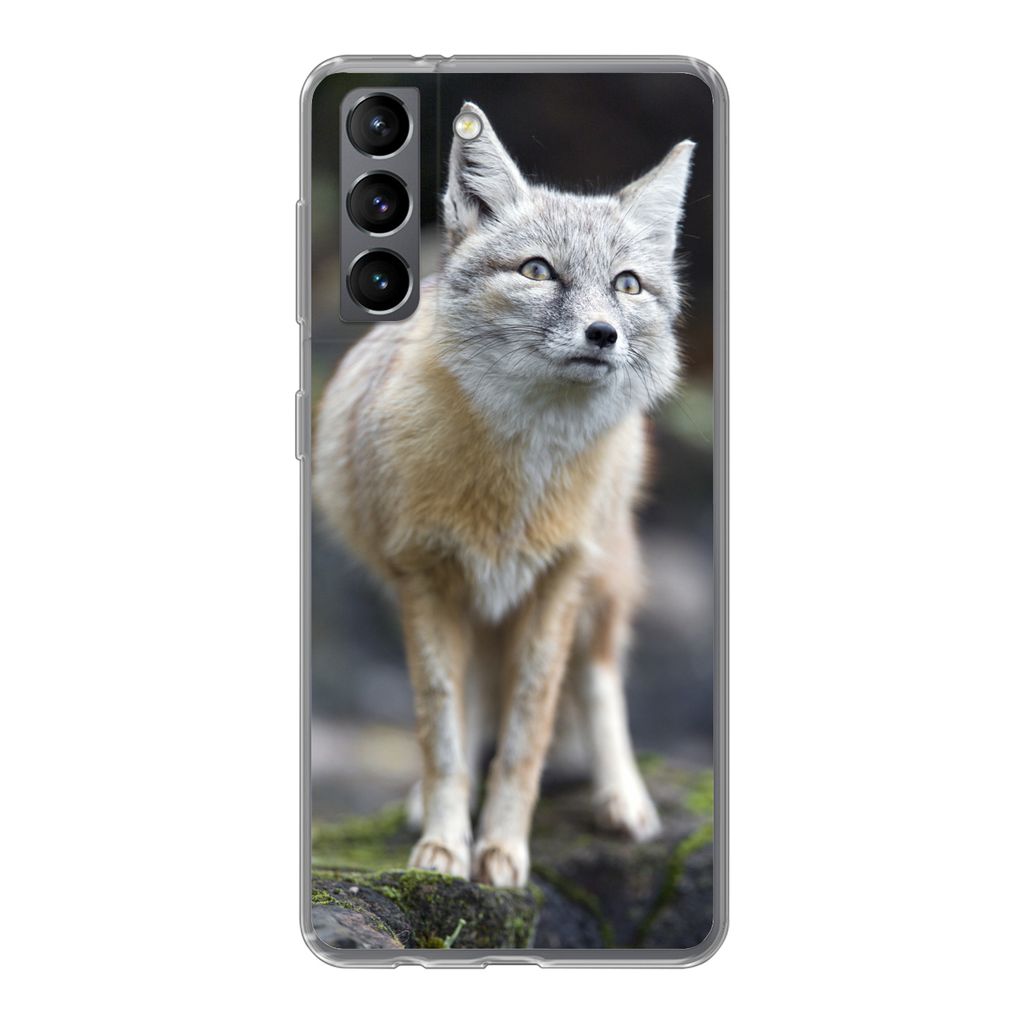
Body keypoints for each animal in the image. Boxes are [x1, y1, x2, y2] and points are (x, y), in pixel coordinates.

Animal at [313, 102, 695, 887]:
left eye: (628, 285)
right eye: (537, 271)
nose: (603, 334)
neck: (515, 489)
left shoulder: (557, 583)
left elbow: (529, 734)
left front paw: (503, 849)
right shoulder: (425, 579)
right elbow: (442, 730)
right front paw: (444, 845)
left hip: (601, 583)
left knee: (599, 677)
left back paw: (623, 798)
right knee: (473, 702)